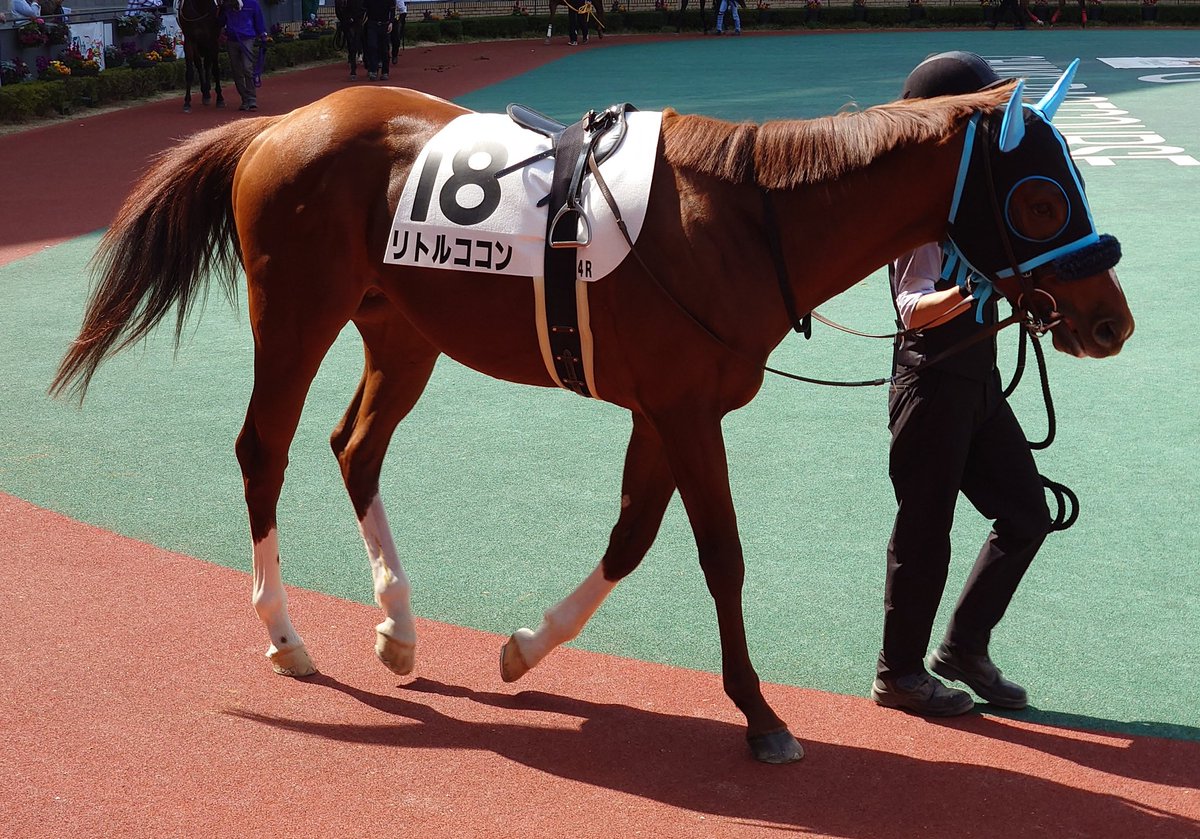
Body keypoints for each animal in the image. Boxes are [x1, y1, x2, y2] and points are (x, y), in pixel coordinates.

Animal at [52, 72, 1133, 764]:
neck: (746, 220)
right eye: (1043, 198)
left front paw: (524, 647)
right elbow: (719, 553)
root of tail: (282, 121)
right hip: (295, 315)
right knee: (262, 449)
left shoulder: (662, 411)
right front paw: (760, 714)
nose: (1111, 321)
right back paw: (285, 635)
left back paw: (399, 627)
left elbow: (630, 537)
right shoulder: (687, 411)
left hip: (402, 328)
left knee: (353, 447)